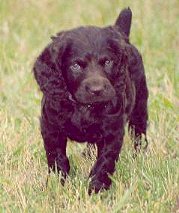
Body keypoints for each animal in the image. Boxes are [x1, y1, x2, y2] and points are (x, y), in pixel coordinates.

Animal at [33, 7, 148, 194]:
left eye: (107, 62)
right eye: (75, 66)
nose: (97, 90)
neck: (83, 107)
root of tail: (120, 32)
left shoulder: (112, 131)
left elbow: (104, 162)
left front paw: (96, 189)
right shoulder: (51, 127)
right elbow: (57, 157)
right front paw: (57, 185)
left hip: (140, 105)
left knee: (139, 133)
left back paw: (139, 156)